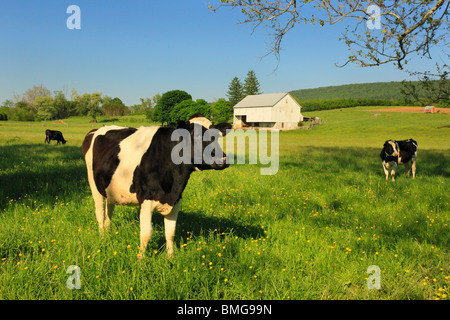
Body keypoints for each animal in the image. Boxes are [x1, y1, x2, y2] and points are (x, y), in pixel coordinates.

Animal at [82, 115, 232, 258]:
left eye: (218, 136)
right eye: (198, 136)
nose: (223, 160)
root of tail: (97, 129)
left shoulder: (176, 200)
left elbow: (170, 232)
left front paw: (170, 258)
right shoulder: (145, 199)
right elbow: (146, 233)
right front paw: (141, 260)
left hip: (110, 188)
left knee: (109, 211)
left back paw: (108, 233)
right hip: (94, 185)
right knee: (100, 213)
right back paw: (102, 238)